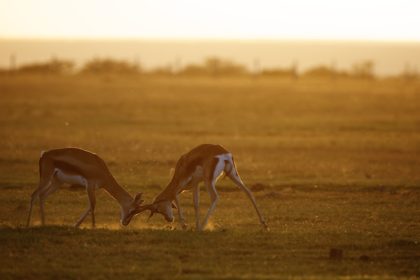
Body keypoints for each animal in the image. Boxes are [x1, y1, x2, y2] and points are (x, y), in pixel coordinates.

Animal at [133, 143, 268, 231]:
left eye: (158, 209)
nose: (169, 219)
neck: (182, 165)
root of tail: (224, 154)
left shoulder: (182, 183)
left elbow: (175, 195)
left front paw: (185, 225)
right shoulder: (196, 184)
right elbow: (196, 203)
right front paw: (194, 225)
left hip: (209, 181)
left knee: (215, 197)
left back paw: (203, 226)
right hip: (233, 175)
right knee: (248, 192)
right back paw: (264, 224)